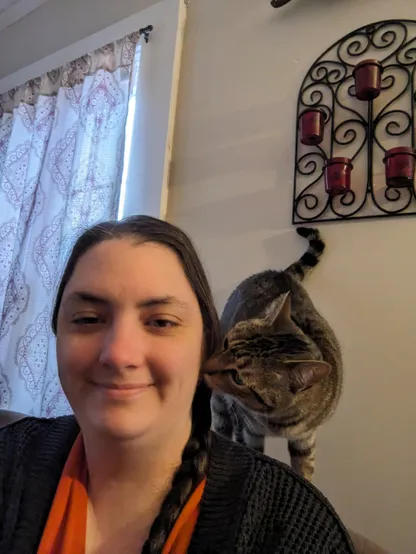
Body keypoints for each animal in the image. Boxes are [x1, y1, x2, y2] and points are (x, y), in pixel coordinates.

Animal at [202, 225, 342, 478]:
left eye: (238, 378)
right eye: (226, 344)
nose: (206, 365)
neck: (280, 421)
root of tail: (280, 274)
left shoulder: (305, 439)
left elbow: (304, 471)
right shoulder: (247, 430)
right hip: (220, 406)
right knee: (221, 427)